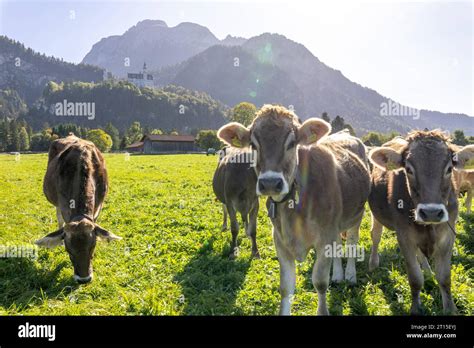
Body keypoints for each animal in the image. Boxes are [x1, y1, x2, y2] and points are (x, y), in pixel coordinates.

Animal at [218, 104, 370, 314]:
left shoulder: (324, 238)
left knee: (352, 241)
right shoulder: (280, 241)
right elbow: (286, 288)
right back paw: (338, 275)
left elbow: (320, 283)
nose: (270, 183)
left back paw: (350, 275)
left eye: (291, 143)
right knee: (339, 243)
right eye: (254, 145)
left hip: (357, 214)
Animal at [370, 130, 474, 316]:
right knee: (376, 236)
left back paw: (427, 269)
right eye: (408, 169)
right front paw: (416, 308)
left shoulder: (448, 235)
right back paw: (373, 263)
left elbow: (444, 278)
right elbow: (415, 278)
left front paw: (451, 309)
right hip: (376, 215)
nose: (431, 212)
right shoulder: (404, 236)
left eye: (449, 169)